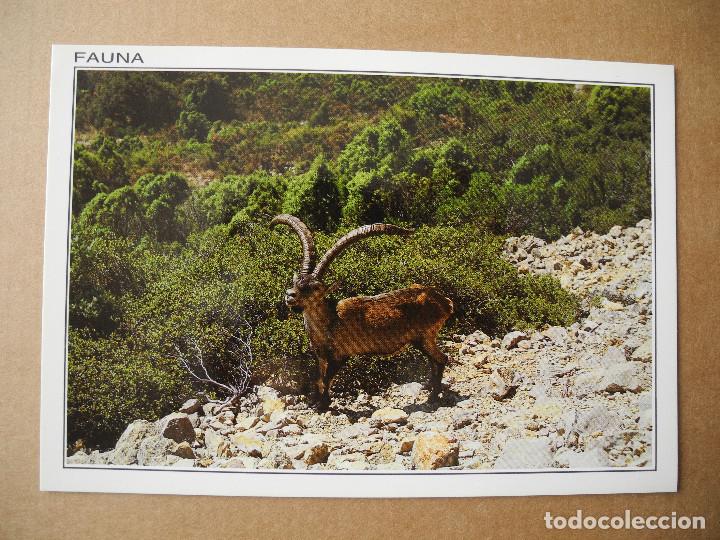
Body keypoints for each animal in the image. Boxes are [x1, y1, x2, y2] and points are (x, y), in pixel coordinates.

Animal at [270, 214, 454, 410]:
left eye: (315, 288)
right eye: (296, 280)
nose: (290, 295)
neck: (331, 321)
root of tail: (445, 302)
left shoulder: (341, 355)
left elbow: (326, 380)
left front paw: (323, 405)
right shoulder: (320, 356)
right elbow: (319, 379)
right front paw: (315, 402)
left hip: (424, 337)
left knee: (442, 359)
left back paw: (433, 397)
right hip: (423, 340)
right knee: (434, 361)